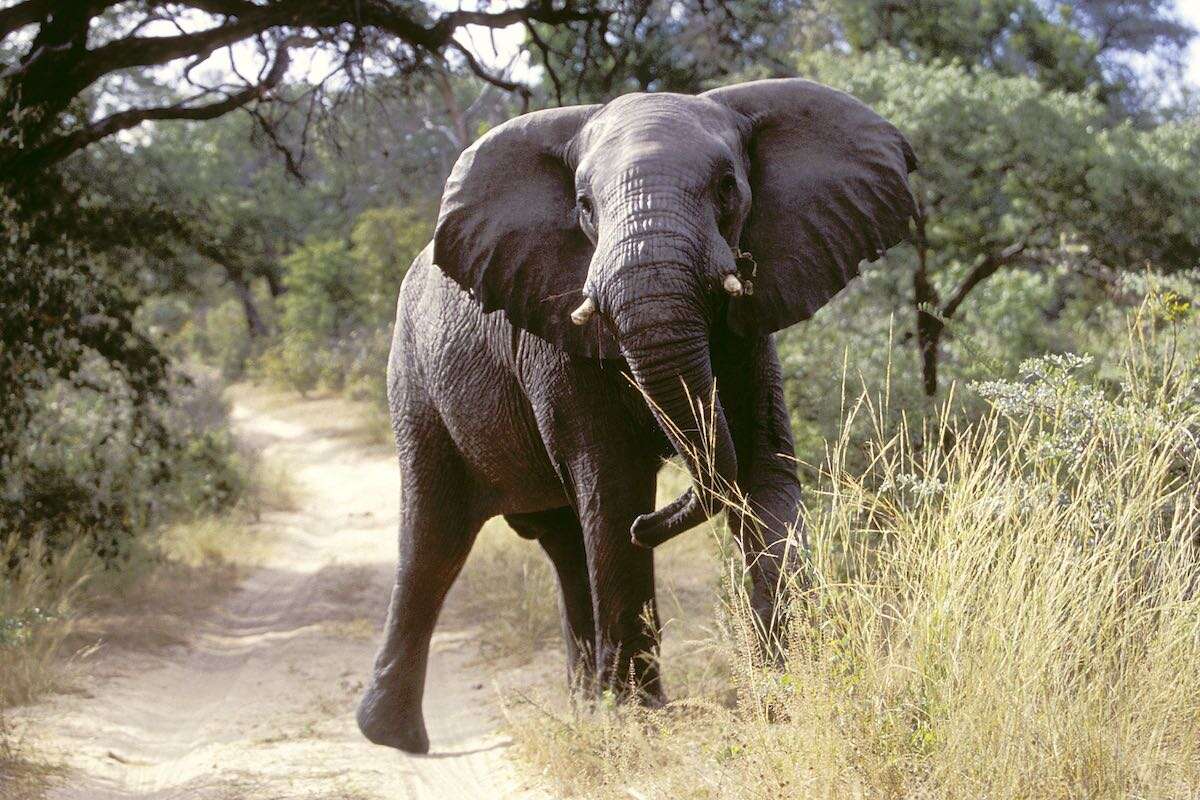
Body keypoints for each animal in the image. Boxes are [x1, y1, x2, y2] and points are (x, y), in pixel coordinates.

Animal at [355, 77, 916, 753]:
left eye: (727, 185)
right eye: (584, 206)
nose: (654, 523)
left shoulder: (752, 325)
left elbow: (762, 474)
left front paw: (789, 698)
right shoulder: (555, 334)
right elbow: (615, 484)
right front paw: (642, 723)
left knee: (565, 544)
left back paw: (584, 706)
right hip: (414, 379)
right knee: (434, 542)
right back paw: (396, 738)